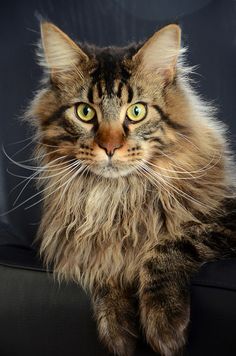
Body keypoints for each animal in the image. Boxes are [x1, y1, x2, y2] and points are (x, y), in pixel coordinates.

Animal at [26, 22, 236, 356]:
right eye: (85, 112)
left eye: (136, 112)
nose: (110, 147)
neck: (119, 198)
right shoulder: (89, 239)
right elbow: (105, 267)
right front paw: (118, 331)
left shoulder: (223, 218)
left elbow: (171, 244)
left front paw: (164, 325)